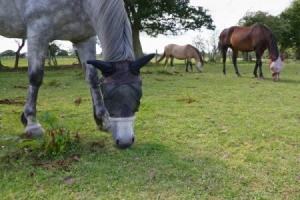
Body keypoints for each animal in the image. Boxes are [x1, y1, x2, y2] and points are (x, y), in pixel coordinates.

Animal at [0, 0, 154, 148]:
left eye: (139, 96)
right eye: (107, 97)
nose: (125, 141)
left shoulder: (85, 38)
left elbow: (92, 79)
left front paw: (104, 119)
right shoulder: (37, 32)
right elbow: (35, 77)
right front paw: (32, 123)